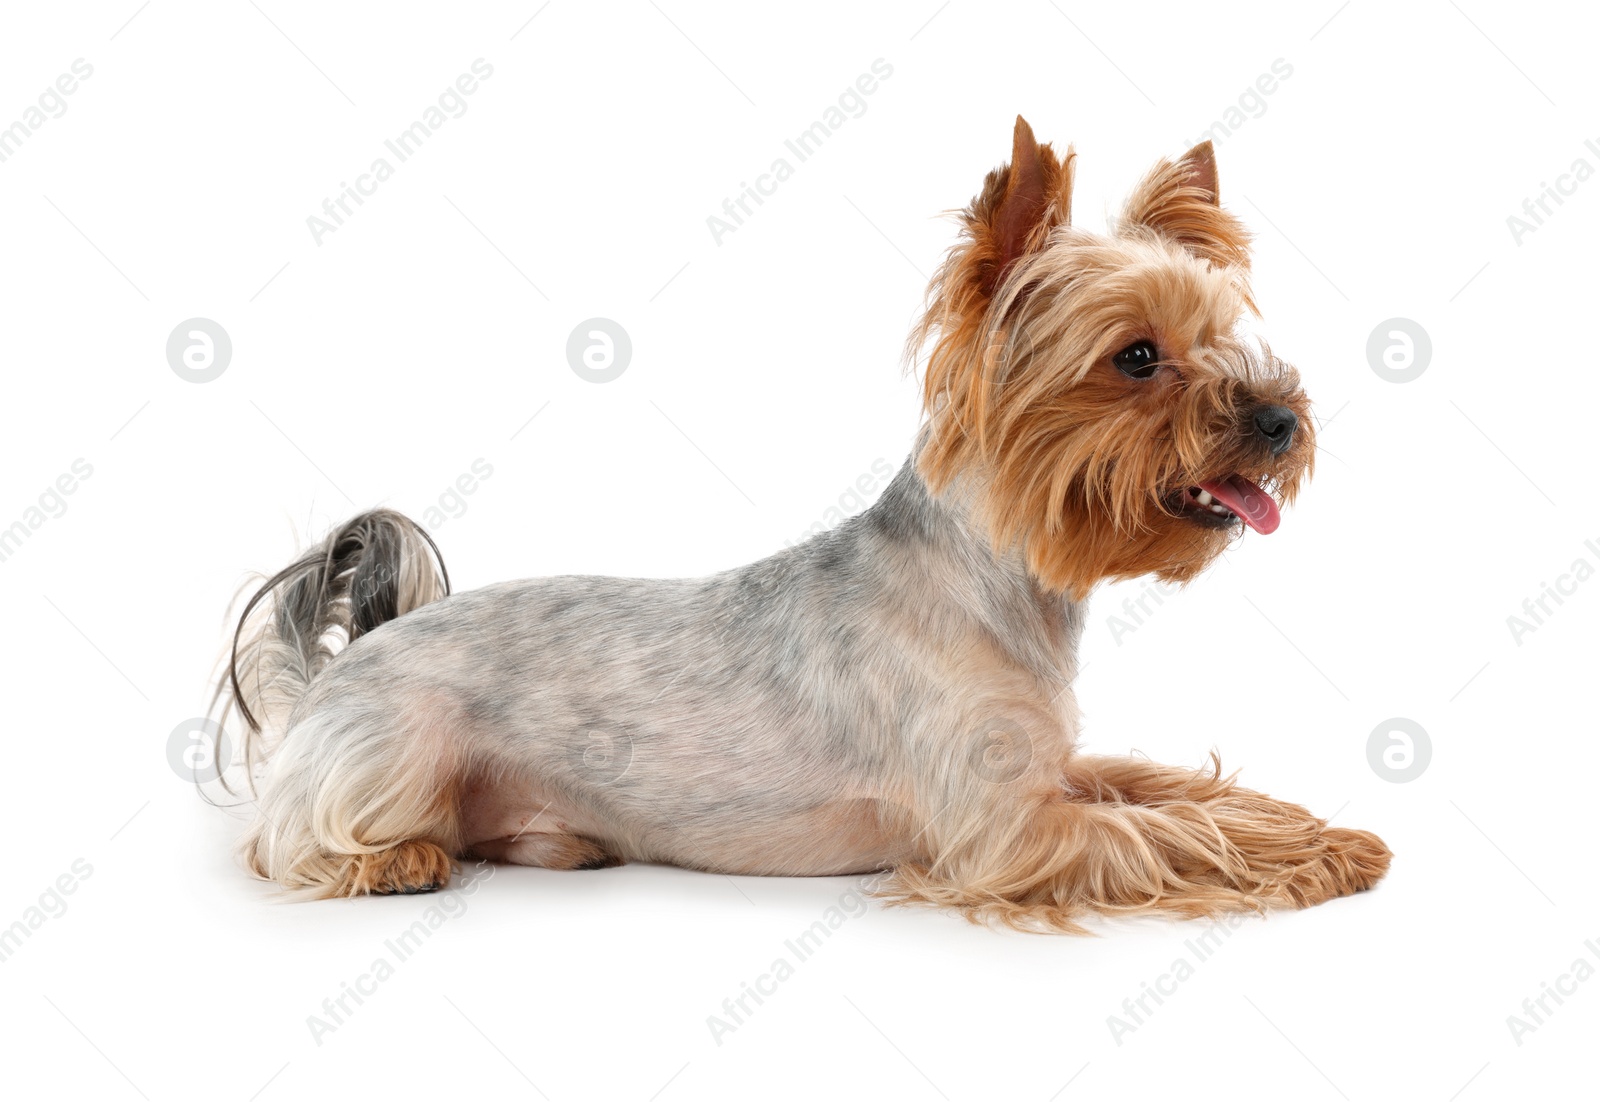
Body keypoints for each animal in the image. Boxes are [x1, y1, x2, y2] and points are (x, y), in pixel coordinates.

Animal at [222, 118, 1388, 927]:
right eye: (1137, 357)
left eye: (1231, 337)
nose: (1283, 419)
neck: (996, 578)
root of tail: (343, 661)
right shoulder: (1010, 830)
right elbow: (1170, 832)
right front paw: (1326, 857)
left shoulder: (1050, 767)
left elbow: (1172, 787)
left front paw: (1308, 821)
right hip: (400, 748)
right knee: (280, 840)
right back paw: (389, 861)